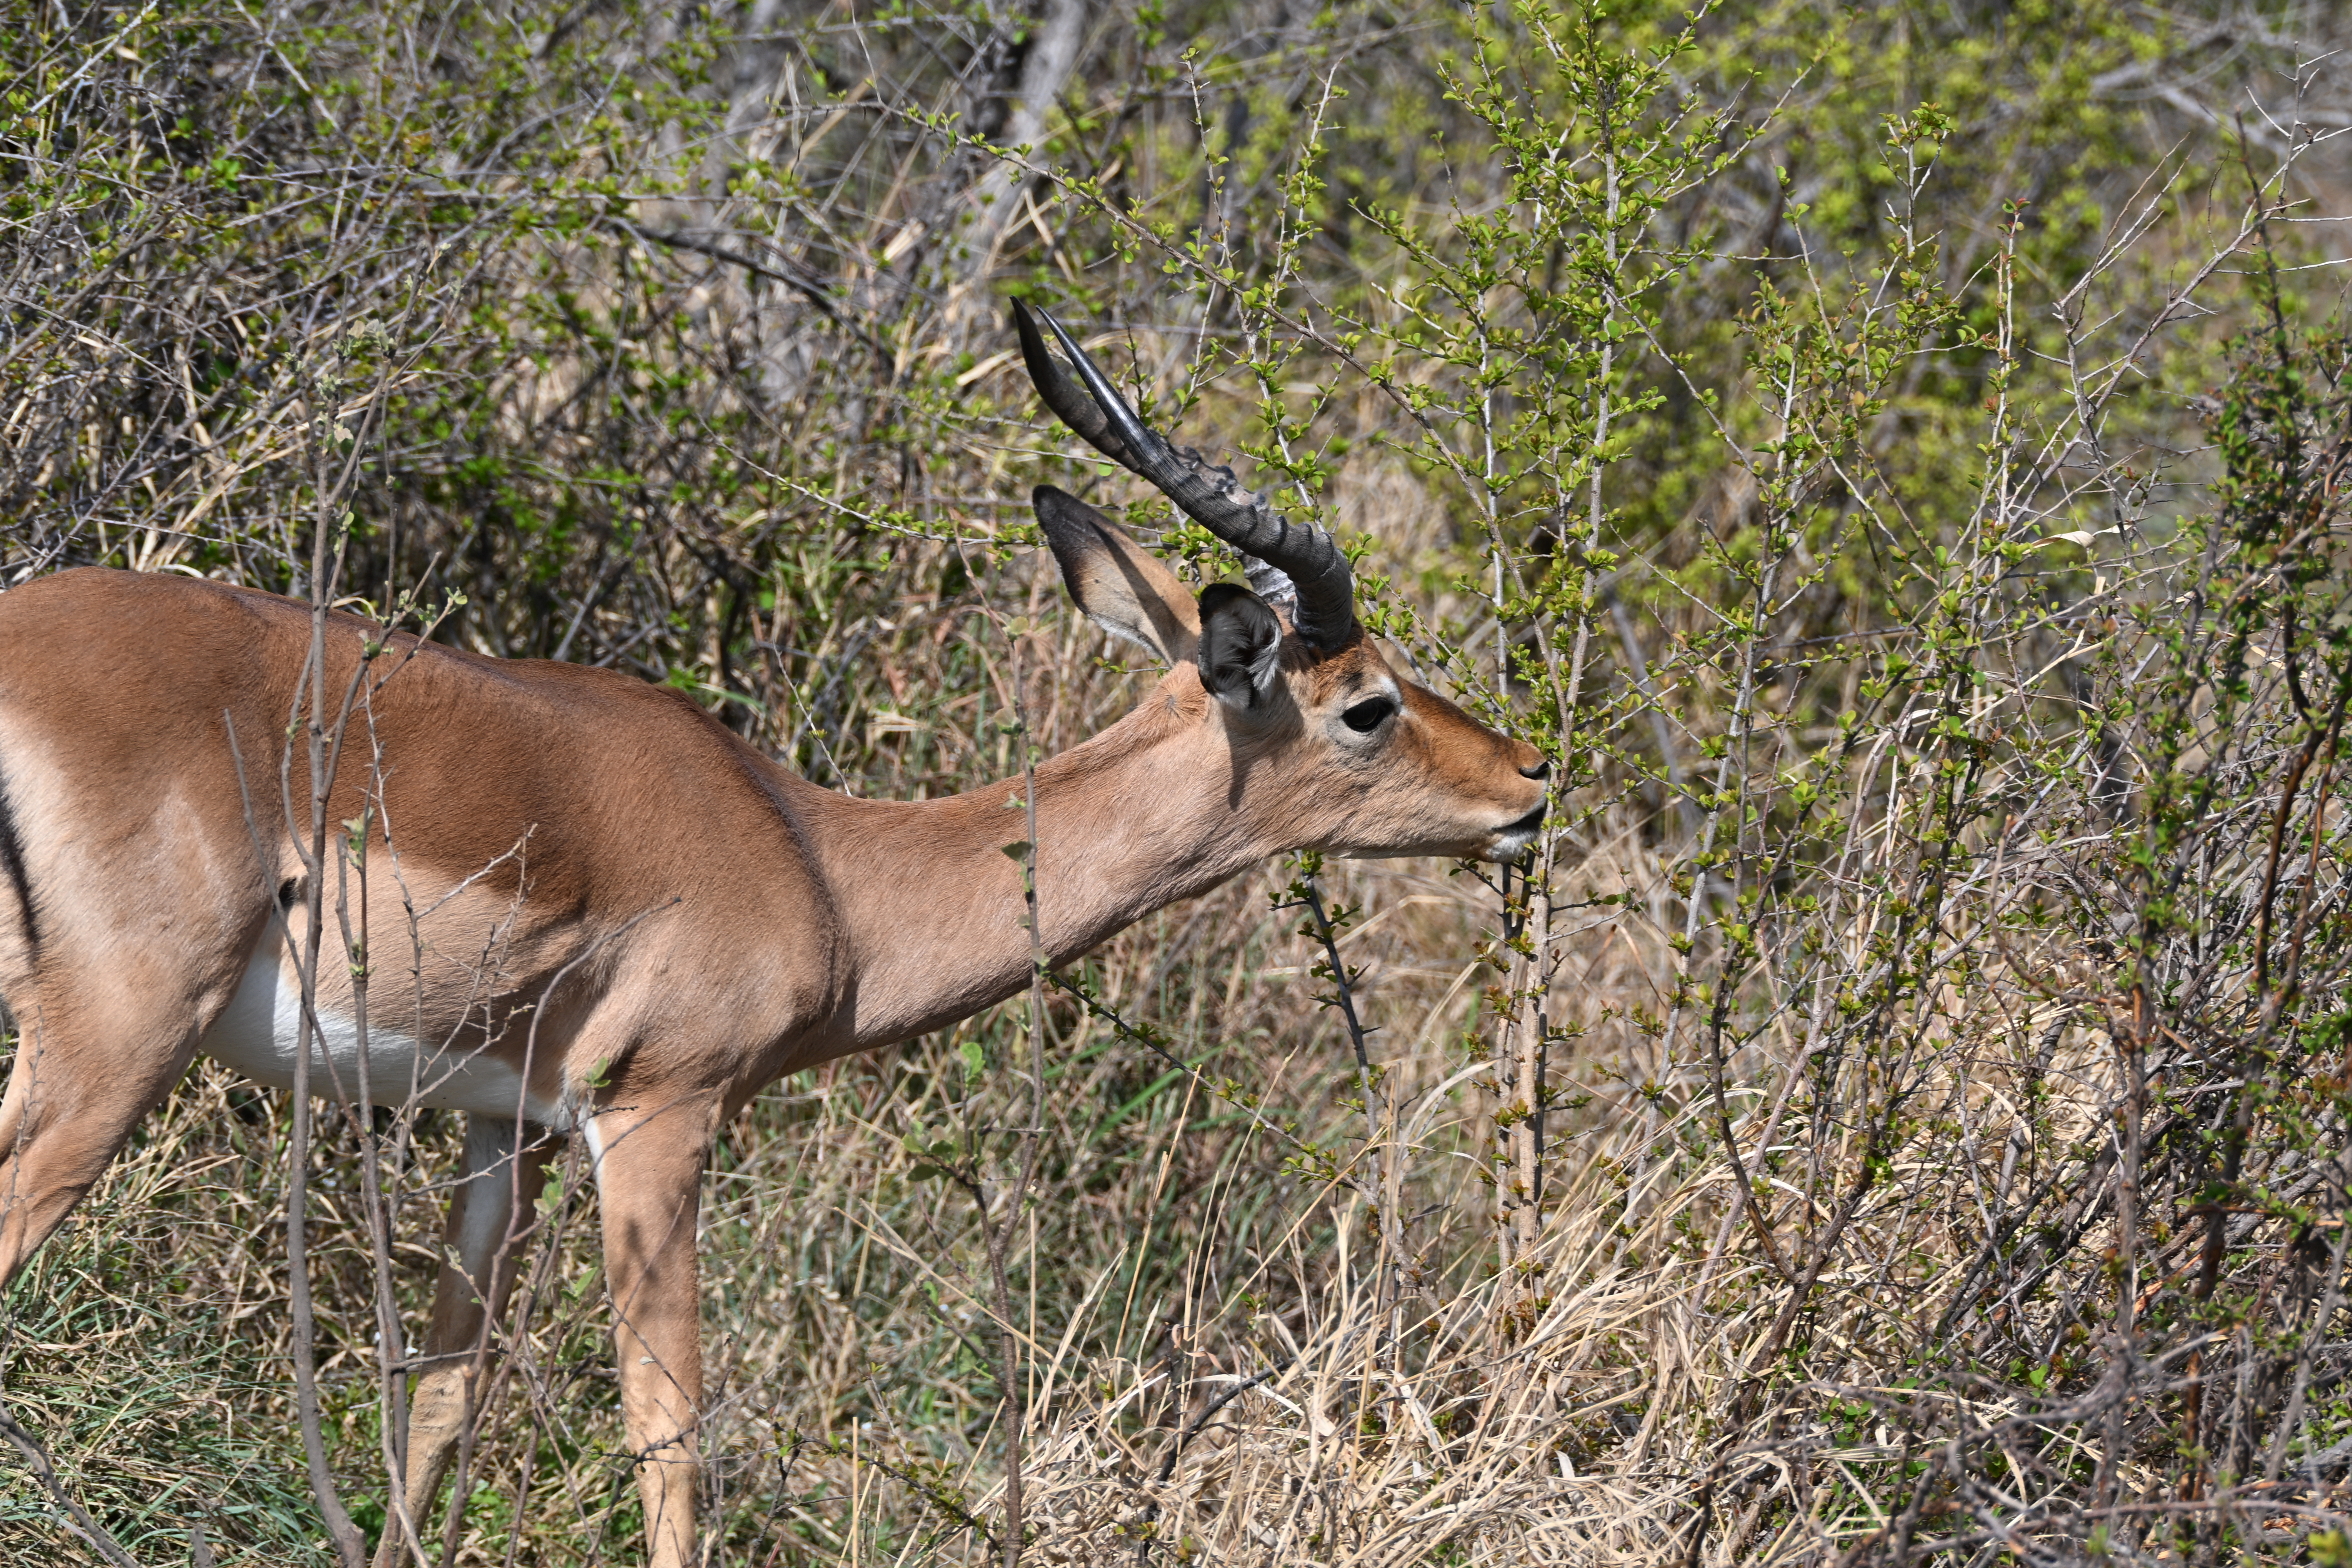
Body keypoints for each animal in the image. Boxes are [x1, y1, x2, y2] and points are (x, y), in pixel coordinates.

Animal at [0, 305, 1548, 1568]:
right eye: (1366, 701)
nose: (1532, 780)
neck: (818, 861)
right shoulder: (660, 1117)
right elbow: (671, 1437)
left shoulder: (508, 1128)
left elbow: (441, 1405)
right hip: (116, 1048)